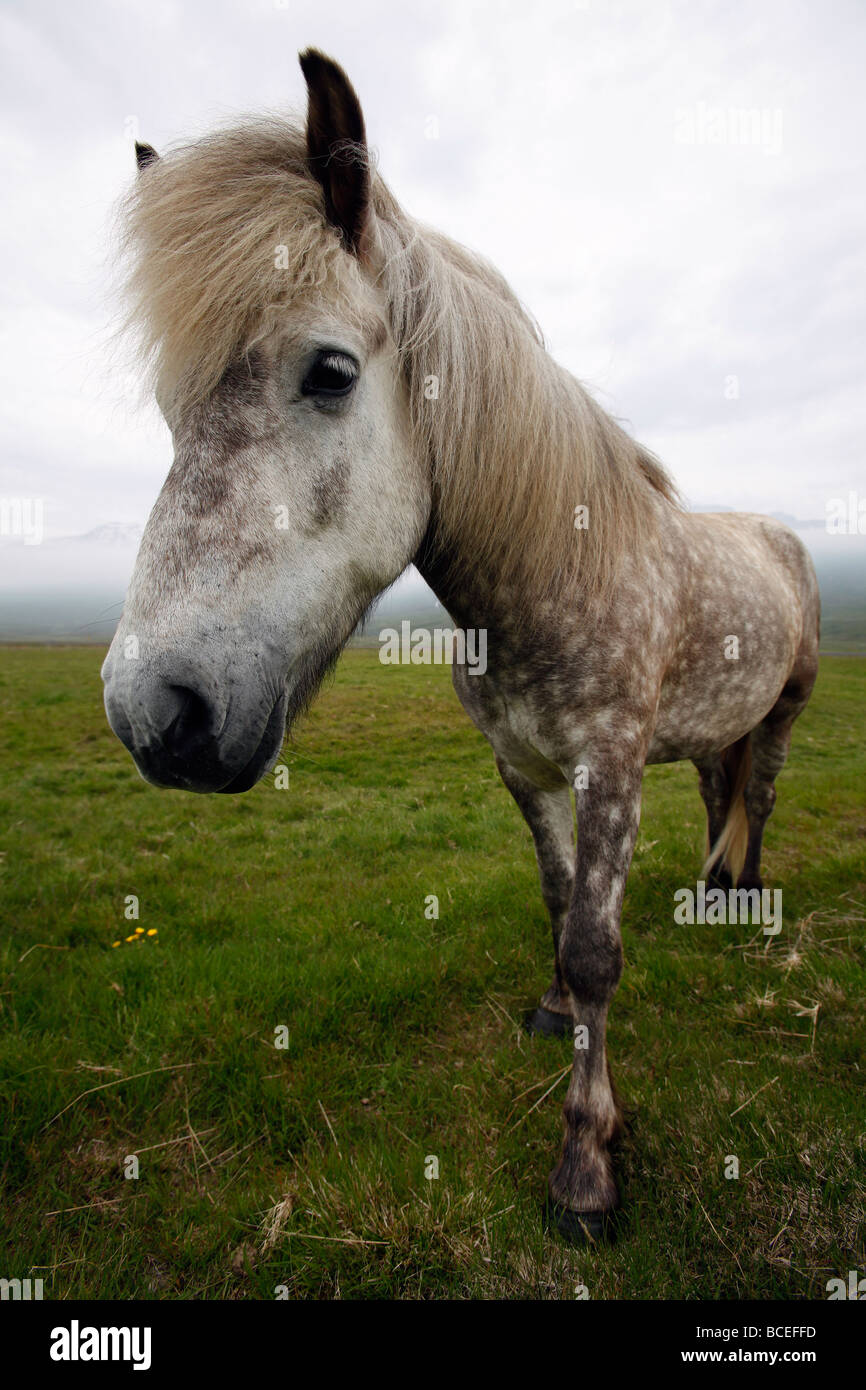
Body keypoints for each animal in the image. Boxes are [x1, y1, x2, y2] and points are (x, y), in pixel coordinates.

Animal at [101, 43, 817, 1245]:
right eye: (168, 404)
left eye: (331, 372)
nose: (156, 714)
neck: (549, 571)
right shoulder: (521, 768)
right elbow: (558, 900)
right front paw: (553, 1013)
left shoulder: (610, 767)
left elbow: (597, 944)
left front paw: (586, 1165)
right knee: (724, 789)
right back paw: (718, 891)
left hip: (785, 705)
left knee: (755, 791)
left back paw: (745, 897)